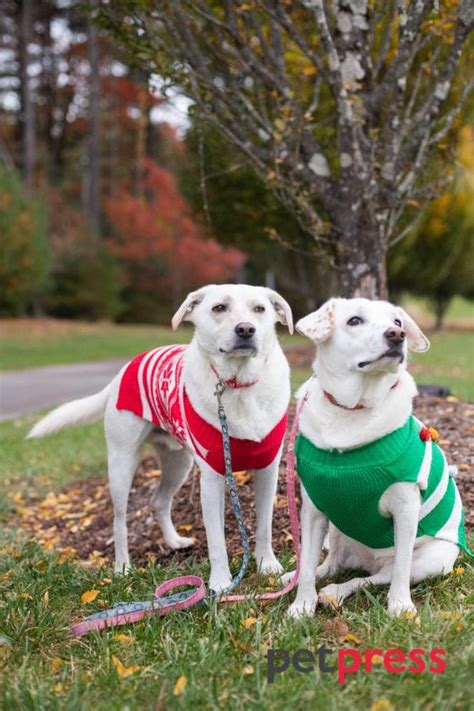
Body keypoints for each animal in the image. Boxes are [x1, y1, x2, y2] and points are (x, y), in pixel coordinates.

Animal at [28, 286, 292, 596]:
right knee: (119, 520)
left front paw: (267, 565)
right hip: (122, 464)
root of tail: (126, 368)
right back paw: (122, 568)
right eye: (219, 308)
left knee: (158, 501)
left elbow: (264, 526)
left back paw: (174, 542)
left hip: (179, 463)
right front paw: (220, 582)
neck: (237, 384)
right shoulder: (212, 478)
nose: (246, 329)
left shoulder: (267, 470)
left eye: (260, 309)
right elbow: (216, 539)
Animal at [286, 298, 472, 620]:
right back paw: (303, 578)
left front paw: (400, 604)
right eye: (354, 320)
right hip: (337, 528)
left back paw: (337, 591)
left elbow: (400, 569)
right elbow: (307, 563)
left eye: (397, 322)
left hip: (432, 558)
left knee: (376, 576)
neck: (353, 408)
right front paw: (301, 605)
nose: (397, 335)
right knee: (332, 564)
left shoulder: (406, 508)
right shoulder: (314, 508)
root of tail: (366, 560)